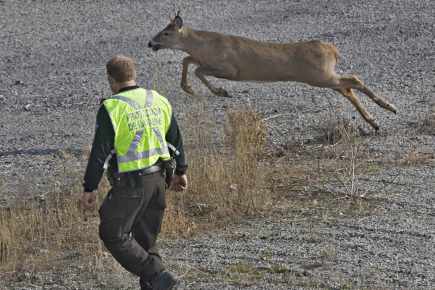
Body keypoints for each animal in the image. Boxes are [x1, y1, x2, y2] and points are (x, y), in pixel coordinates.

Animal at [149, 12, 398, 130]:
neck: (204, 45)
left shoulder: (231, 69)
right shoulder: (203, 59)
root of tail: (332, 50)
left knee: (353, 79)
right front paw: (188, 88)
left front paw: (220, 91)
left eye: (166, 33)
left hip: (319, 75)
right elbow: (187, 60)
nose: (151, 43)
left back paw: (388, 107)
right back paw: (374, 121)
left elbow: (197, 69)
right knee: (347, 88)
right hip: (324, 76)